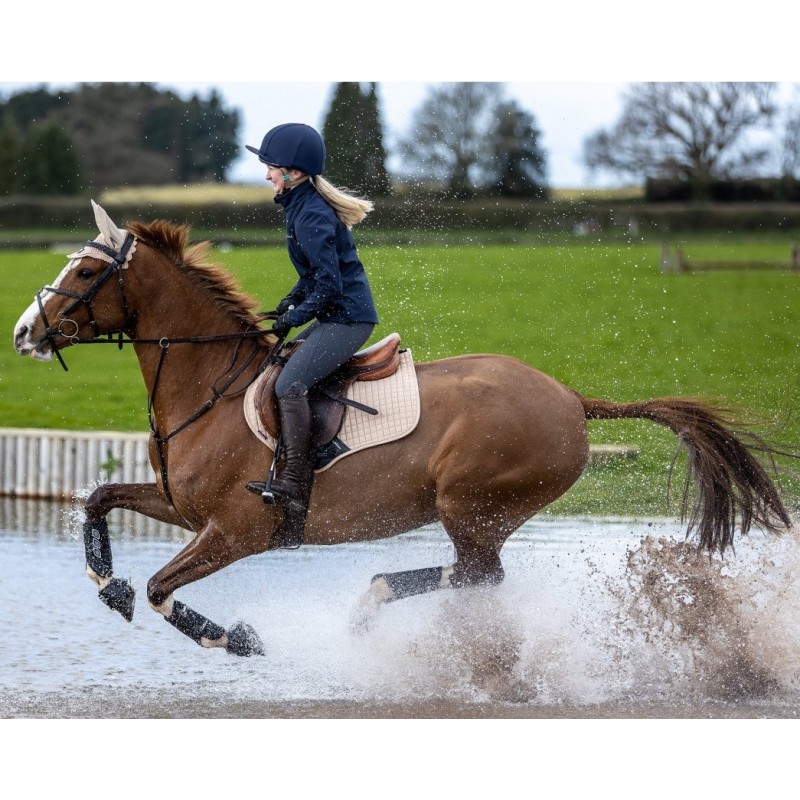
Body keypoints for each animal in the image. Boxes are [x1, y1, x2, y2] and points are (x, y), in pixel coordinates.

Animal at [13, 200, 795, 657]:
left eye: (82, 272)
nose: (23, 333)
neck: (211, 385)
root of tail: (571, 398)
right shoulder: (182, 506)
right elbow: (98, 500)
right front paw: (105, 582)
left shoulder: (236, 530)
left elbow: (160, 587)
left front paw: (234, 637)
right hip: (477, 509)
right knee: (480, 578)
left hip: (471, 502)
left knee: (479, 573)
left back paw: (374, 598)